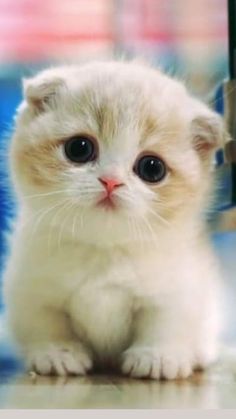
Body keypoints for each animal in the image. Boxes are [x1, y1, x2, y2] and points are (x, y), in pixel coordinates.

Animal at [3, 60, 225, 378]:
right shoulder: (32, 286)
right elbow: (45, 321)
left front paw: (156, 356)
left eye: (152, 167)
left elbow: (165, 322)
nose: (110, 181)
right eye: (79, 148)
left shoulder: (178, 287)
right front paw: (57, 352)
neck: (103, 251)